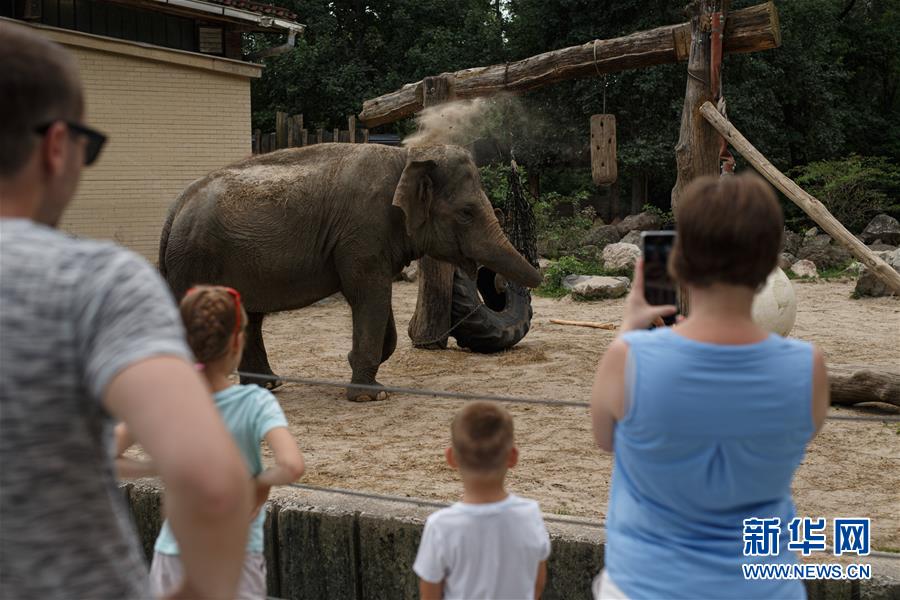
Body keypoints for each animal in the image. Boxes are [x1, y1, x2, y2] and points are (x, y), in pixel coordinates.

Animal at [156, 143, 540, 400]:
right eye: (466, 213)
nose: (498, 285)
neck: (407, 157)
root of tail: (174, 209)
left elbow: (379, 302)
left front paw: (362, 369)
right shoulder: (363, 232)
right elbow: (367, 294)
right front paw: (372, 395)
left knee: (249, 316)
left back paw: (268, 386)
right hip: (197, 261)